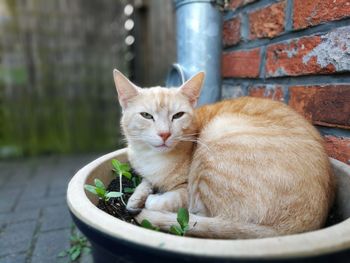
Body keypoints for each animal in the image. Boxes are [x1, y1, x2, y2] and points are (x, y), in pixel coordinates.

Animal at [113, 69, 334, 240]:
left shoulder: (186, 191)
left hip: (218, 135)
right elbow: (145, 181)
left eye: (178, 115)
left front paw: (149, 200)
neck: (153, 159)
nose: (164, 134)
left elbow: (171, 199)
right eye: (146, 115)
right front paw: (136, 197)